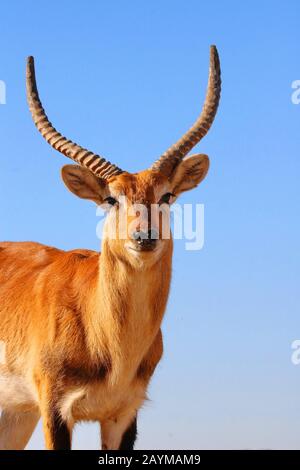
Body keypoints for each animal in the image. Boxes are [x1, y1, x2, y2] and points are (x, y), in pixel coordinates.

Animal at [0, 46, 220, 450]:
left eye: (166, 195)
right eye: (111, 198)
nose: (144, 236)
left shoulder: (123, 415)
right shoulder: (55, 409)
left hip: (17, 415)